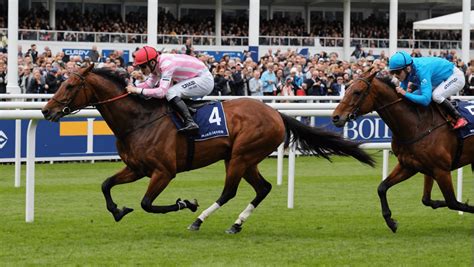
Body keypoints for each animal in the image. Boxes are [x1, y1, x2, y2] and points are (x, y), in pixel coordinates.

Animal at [41, 63, 374, 234]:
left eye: (70, 86)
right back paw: (236, 224)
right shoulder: (136, 168)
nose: (46, 110)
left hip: (240, 156)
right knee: (263, 188)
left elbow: (148, 203)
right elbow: (106, 184)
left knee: (229, 192)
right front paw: (118, 210)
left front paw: (184, 203)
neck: (139, 120)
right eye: (61, 82)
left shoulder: (164, 171)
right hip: (245, 158)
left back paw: (198, 219)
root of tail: (275, 113)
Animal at [332, 70, 474, 233]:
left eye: (357, 92)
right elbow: (384, 188)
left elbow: (453, 202)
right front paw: (390, 221)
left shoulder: (441, 170)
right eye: (346, 89)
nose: (335, 117)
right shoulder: (410, 165)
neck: (417, 125)